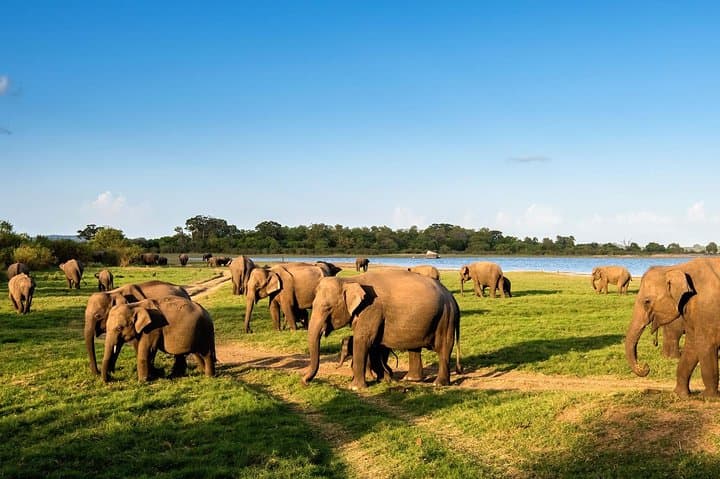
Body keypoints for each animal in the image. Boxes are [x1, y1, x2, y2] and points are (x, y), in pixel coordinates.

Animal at [303, 269, 462, 389]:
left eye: (327, 308)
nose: (304, 381)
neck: (350, 280)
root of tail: (452, 298)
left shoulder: (372, 309)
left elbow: (363, 339)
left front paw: (355, 387)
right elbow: (374, 344)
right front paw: (384, 379)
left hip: (445, 317)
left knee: (443, 347)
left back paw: (438, 384)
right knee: (414, 348)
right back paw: (410, 379)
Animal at [626, 258, 720, 398]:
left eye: (647, 301)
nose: (646, 367)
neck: (675, 268)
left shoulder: (707, 307)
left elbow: (706, 344)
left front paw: (707, 397)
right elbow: (692, 345)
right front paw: (680, 395)